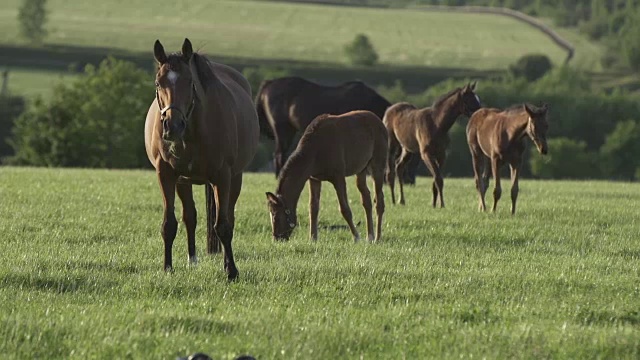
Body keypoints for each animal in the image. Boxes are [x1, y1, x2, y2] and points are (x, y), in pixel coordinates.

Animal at [144, 40, 258, 282]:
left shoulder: (223, 176)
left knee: (229, 217)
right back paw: (192, 259)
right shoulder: (166, 174)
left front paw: (231, 270)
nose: (172, 126)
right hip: (183, 182)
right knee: (190, 216)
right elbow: (170, 224)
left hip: (235, 178)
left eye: (190, 82)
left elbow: (223, 225)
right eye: (158, 82)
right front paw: (167, 268)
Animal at [255, 76, 420, 183]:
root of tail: (268, 84)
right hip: (283, 129)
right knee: (279, 154)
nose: (410, 181)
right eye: (413, 160)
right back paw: (278, 176)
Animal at [264, 111, 388, 242]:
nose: (276, 238)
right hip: (361, 170)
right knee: (366, 199)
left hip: (377, 167)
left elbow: (344, 209)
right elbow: (313, 208)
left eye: (276, 216)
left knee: (379, 201)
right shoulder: (314, 179)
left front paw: (356, 237)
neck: (315, 150)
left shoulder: (338, 178)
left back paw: (377, 238)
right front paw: (313, 238)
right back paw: (370, 236)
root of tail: (379, 122)